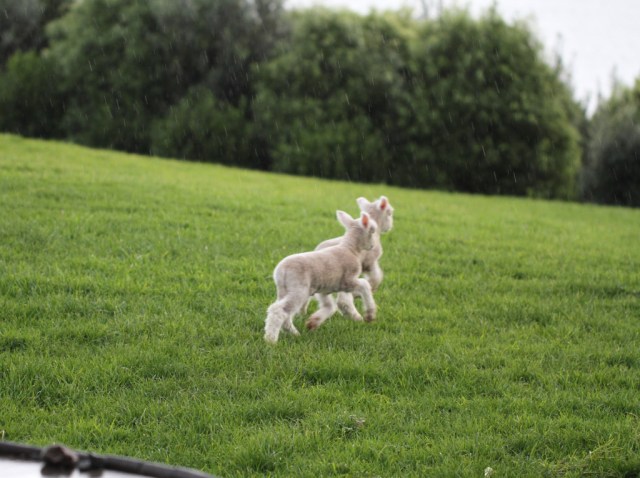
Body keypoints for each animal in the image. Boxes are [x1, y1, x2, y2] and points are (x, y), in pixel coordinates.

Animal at [264, 210, 378, 343]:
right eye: (372, 231)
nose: (372, 246)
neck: (350, 249)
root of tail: (281, 270)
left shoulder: (324, 289)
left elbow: (330, 306)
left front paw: (313, 323)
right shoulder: (347, 281)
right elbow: (365, 285)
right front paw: (370, 315)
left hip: (284, 290)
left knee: (285, 312)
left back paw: (294, 333)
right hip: (299, 289)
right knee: (278, 310)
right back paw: (271, 339)